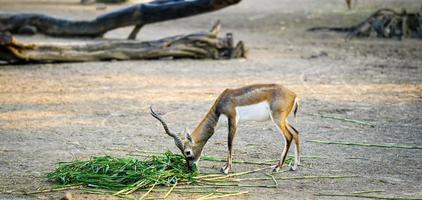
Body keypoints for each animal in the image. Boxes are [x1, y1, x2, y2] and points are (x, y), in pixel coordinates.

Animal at [150, 83, 302, 174]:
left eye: (187, 152)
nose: (190, 168)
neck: (222, 103)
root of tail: (294, 94)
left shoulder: (233, 119)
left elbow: (229, 143)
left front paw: (226, 169)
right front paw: (224, 167)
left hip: (277, 119)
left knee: (288, 137)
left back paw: (277, 167)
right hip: (283, 120)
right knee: (296, 133)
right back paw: (294, 165)